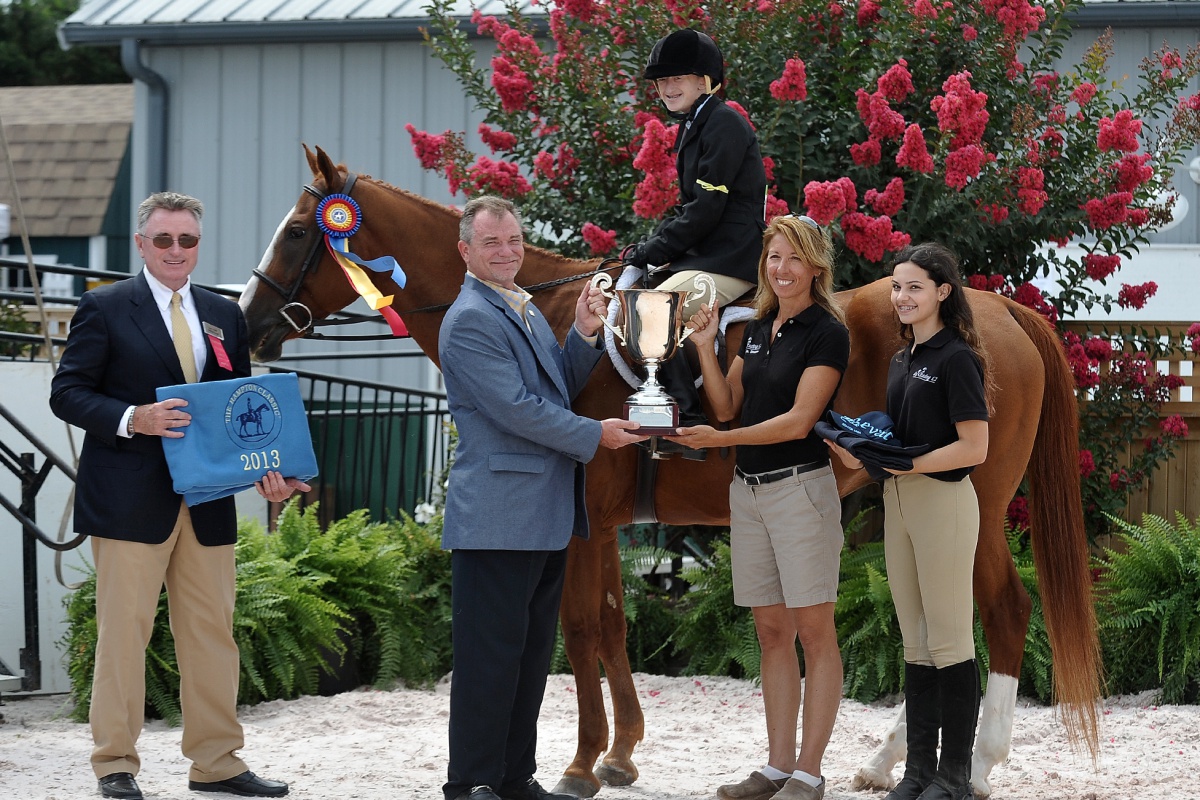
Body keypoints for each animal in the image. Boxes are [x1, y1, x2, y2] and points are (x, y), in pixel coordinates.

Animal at [238, 146, 1099, 796]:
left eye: (295, 232)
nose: (247, 325)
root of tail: (998, 312)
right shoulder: (606, 526)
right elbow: (615, 622)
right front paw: (621, 754)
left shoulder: (581, 524)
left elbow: (581, 629)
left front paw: (582, 763)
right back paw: (885, 762)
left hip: (971, 503)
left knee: (1002, 610)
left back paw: (976, 767)